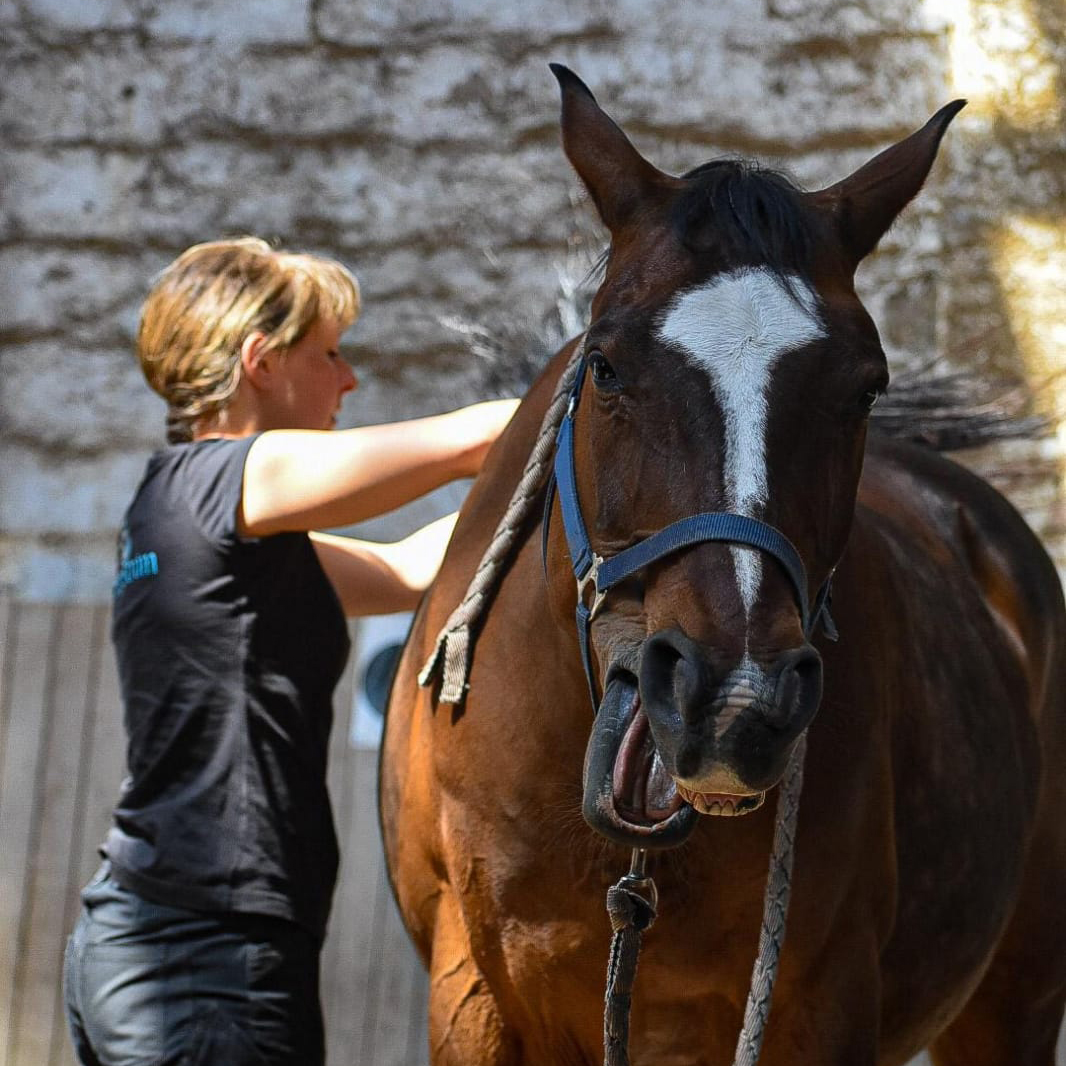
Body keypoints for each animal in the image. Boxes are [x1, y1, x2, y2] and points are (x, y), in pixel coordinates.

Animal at [381, 65, 1066, 1066]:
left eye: (866, 388)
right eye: (606, 365)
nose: (734, 696)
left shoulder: (818, 1008)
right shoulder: (468, 997)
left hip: (1013, 1000)